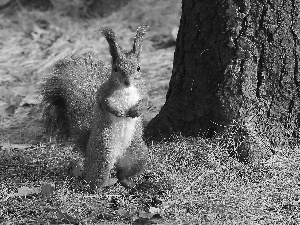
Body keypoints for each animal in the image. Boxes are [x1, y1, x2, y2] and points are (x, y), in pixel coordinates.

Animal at [41, 25, 149, 190]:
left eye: (138, 68)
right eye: (115, 68)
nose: (127, 81)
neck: (126, 90)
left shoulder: (142, 91)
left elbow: (145, 102)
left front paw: (135, 111)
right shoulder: (102, 94)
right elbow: (105, 103)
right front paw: (118, 111)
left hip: (138, 154)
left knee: (123, 173)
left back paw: (127, 181)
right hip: (103, 154)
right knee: (93, 180)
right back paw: (104, 184)